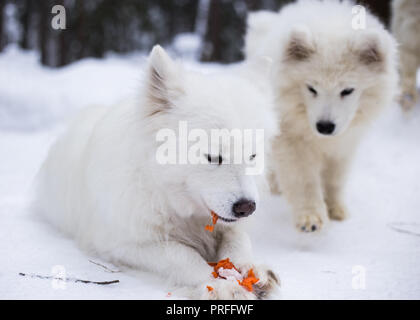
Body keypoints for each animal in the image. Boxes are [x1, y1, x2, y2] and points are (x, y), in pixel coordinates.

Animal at [35, 45, 278, 300]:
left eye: (253, 156)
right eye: (212, 156)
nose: (247, 207)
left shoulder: (229, 226)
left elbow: (238, 241)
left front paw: (251, 269)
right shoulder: (122, 244)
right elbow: (182, 255)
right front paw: (218, 284)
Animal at [244, 0, 398, 232]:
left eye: (347, 90)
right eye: (311, 88)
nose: (325, 126)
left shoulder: (345, 145)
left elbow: (335, 180)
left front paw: (336, 209)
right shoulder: (292, 141)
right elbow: (304, 180)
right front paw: (311, 217)